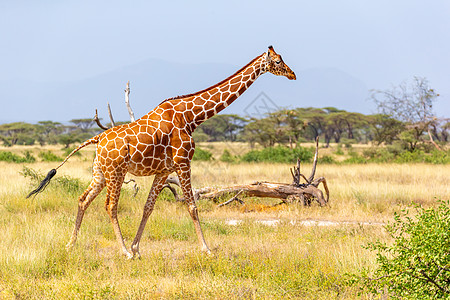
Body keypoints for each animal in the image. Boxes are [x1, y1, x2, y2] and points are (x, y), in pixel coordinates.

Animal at [27, 45, 296, 258]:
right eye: (278, 61)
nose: (293, 74)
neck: (191, 117)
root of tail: (97, 137)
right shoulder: (184, 162)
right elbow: (192, 205)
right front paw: (206, 249)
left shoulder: (164, 170)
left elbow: (148, 207)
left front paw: (137, 248)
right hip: (116, 172)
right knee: (110, 206)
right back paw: (122, 252)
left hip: (99, 172)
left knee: (83, 199)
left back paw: (71, 244)